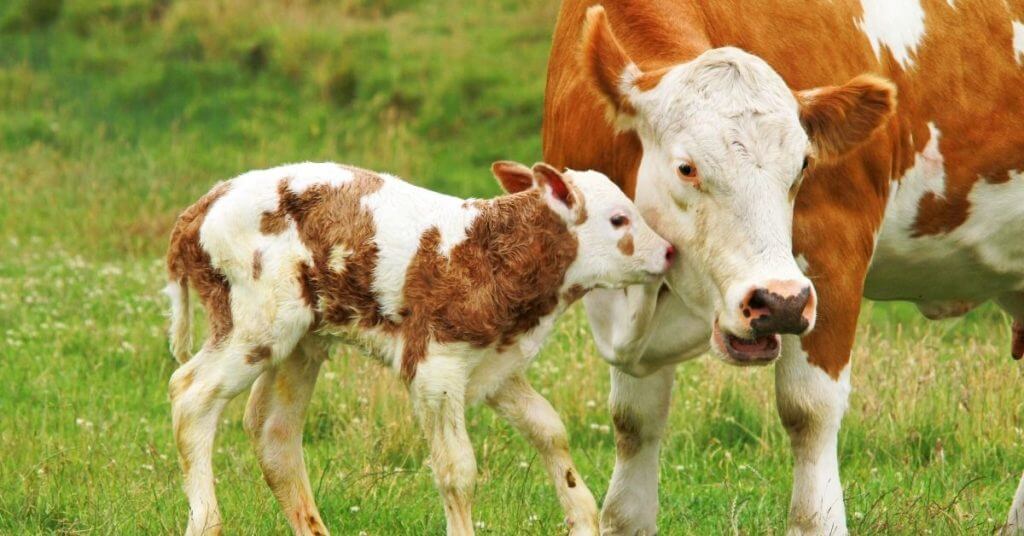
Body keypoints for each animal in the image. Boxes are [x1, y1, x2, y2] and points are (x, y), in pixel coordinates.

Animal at [164, 161, 675, 536]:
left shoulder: (495, 363)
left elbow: (550, 429)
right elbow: (457, 469)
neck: (489, 254)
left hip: (301, 340)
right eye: (619, 219)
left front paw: (582, 518)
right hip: (257, 322)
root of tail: (202, 206)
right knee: (190, 393)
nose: (670, 251)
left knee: (273, 431)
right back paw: (205, 522)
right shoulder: (436, 366)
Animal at [543, 1, 1024, 534]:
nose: (778, 303)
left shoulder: (833, 251)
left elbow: (809, 409)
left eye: (803, 166)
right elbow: (633, 420)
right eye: (686, 168)